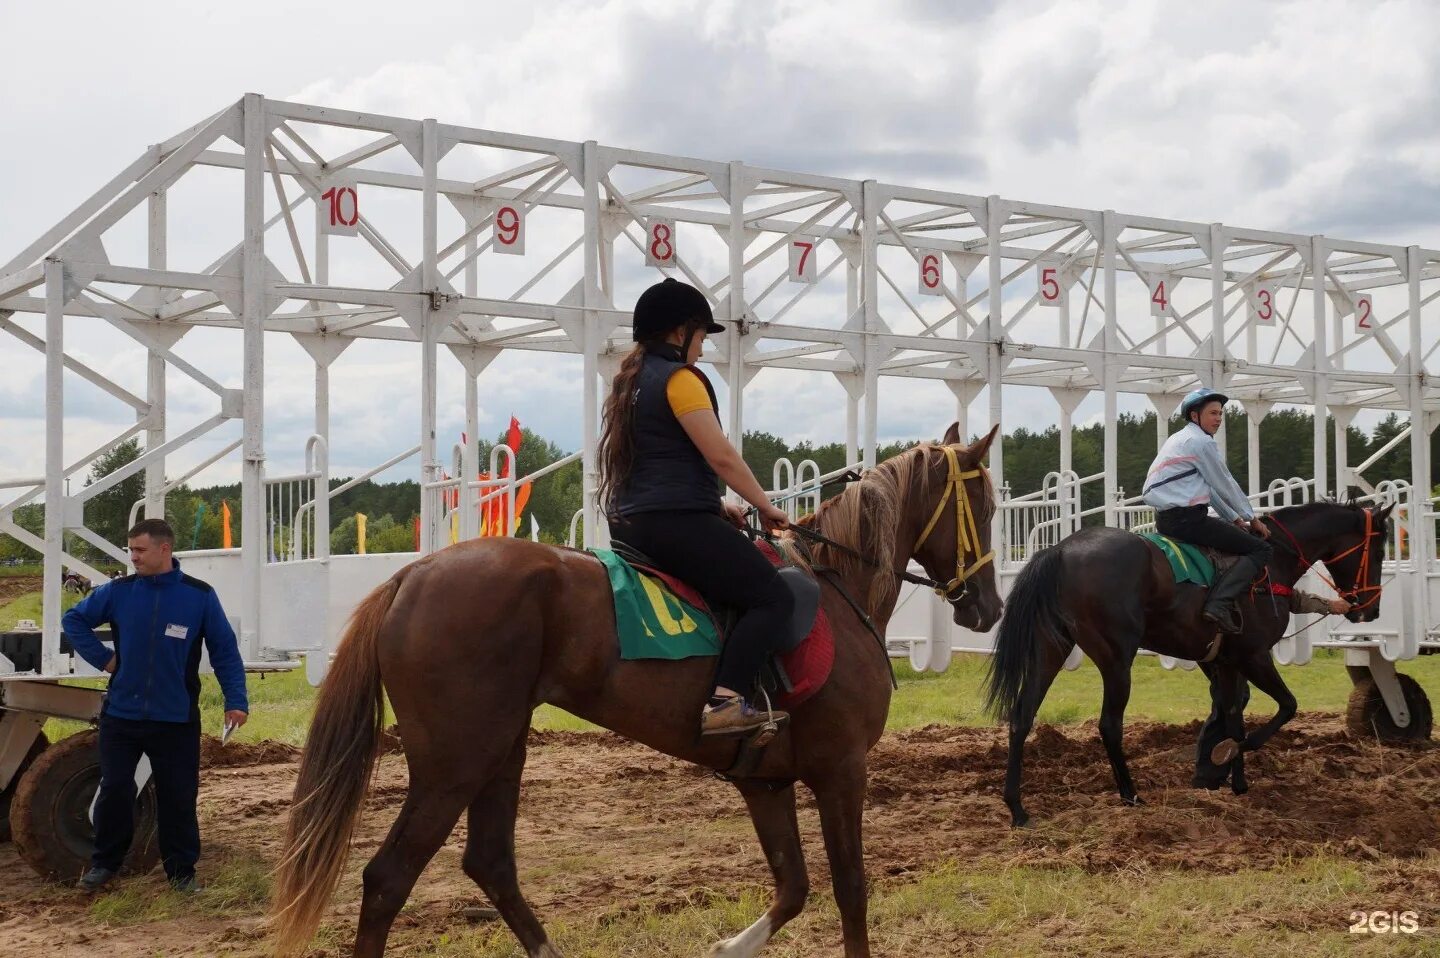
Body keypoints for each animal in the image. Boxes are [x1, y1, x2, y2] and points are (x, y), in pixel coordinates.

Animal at [275, 423, 1008, 956]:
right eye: (986, 504)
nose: (989, 606)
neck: (838, 587)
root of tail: (410, 576)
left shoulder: (766, 781)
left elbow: (794, 887)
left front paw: (727, 947)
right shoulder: (841, 770)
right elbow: (851, 890)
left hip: (501, 749)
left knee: (491, 864)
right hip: (454, 762)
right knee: (388, 879)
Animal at [984, 495, 1388, 824]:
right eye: (1379, 548)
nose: (1370, 609)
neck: (1271, 564)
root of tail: (1061, 550)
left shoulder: (1225, 661)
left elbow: (1233, 715)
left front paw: (1235, 781)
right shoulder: (1254, 655)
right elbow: (1285, 707)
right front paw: (1226, 757)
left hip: (1050, 649)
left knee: (1022, 716)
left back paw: (1017, 807)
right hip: (1116, 658)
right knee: (1109, 724)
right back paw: (1131, 794)